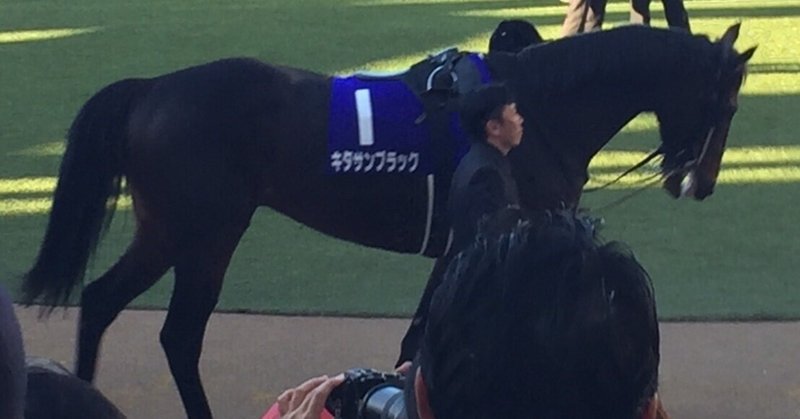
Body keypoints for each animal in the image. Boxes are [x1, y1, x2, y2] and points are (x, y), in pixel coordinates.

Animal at [21, 24, 753, 418]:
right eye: (727, 104)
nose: (700, 182)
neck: (536, 107)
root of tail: (151, 88)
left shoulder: (464, 247)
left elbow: (419, 332)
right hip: (205, 233)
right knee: (176, 333)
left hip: (168, 229)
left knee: (102, 299)